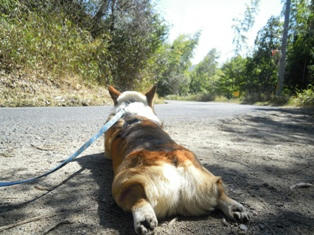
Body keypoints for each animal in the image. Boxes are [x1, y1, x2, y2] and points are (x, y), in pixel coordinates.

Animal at [105, 86, 250, 235]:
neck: (131, 111)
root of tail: (174, 159)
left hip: (121, 182)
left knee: (137, 198)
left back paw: (144, 218)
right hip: (206, 175)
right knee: (220, 192)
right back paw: (236, 208)